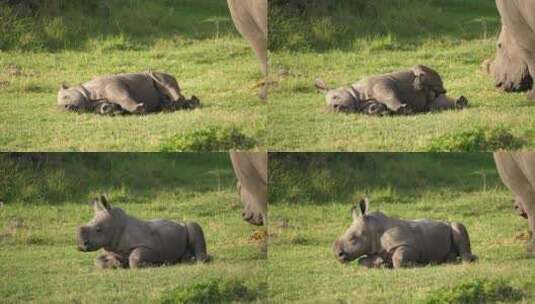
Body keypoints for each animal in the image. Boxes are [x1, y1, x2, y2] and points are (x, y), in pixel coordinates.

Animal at [57, 72, 199, 114]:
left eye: (66, 97)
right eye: (60, 107)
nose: (66, 107)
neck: (87, 93)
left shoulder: (114, 85)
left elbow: (124, 97)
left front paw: (139, 108)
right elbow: (104, 107)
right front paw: (113, 110)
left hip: (160, 75)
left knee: (162, 79)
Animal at [77, 195, 209, 268]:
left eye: (98, 230)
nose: (81, 246)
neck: (117, 224)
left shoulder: (153, 248)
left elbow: (135, 258)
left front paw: (154, 265)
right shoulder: (112, 247)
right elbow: (97, 260)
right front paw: (117, 264)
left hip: (185, 226)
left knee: (193, 225)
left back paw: (198, 261)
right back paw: (186, 259)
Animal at [318, 64, 468, 115]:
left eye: (335, 97)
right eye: (329, 106)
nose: (335, 107)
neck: (356, 94)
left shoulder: (382, 85)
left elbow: (389, 96)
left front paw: (403, 109)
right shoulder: (366, 102)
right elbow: (375, 107)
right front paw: (380, 112)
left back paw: (418, 83)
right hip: (432, 99)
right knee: (434, 102)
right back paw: (461, 102)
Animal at [332, 198, 476, 268]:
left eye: (352, 238)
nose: (338, 255)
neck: (374, 228)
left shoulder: (408, 244)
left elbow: (398, 259)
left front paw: (416, 264)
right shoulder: (374, 249)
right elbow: (362, 261)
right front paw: (382, 263)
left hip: (452, 225)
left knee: (458, 226)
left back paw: (465, 262)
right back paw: (448, 261)